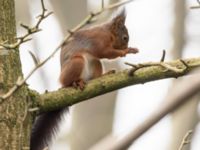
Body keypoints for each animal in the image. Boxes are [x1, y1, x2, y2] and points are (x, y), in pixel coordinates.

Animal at [30, 9, 138, 150]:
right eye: (125, 38)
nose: (126, 46)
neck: (108, 33)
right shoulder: (99, 41)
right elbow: (105, 52)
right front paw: (126, 51)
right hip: (76, 62)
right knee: (67, 81)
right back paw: (75, 82)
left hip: (95, 63)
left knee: (95, 72)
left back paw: (103, 75)